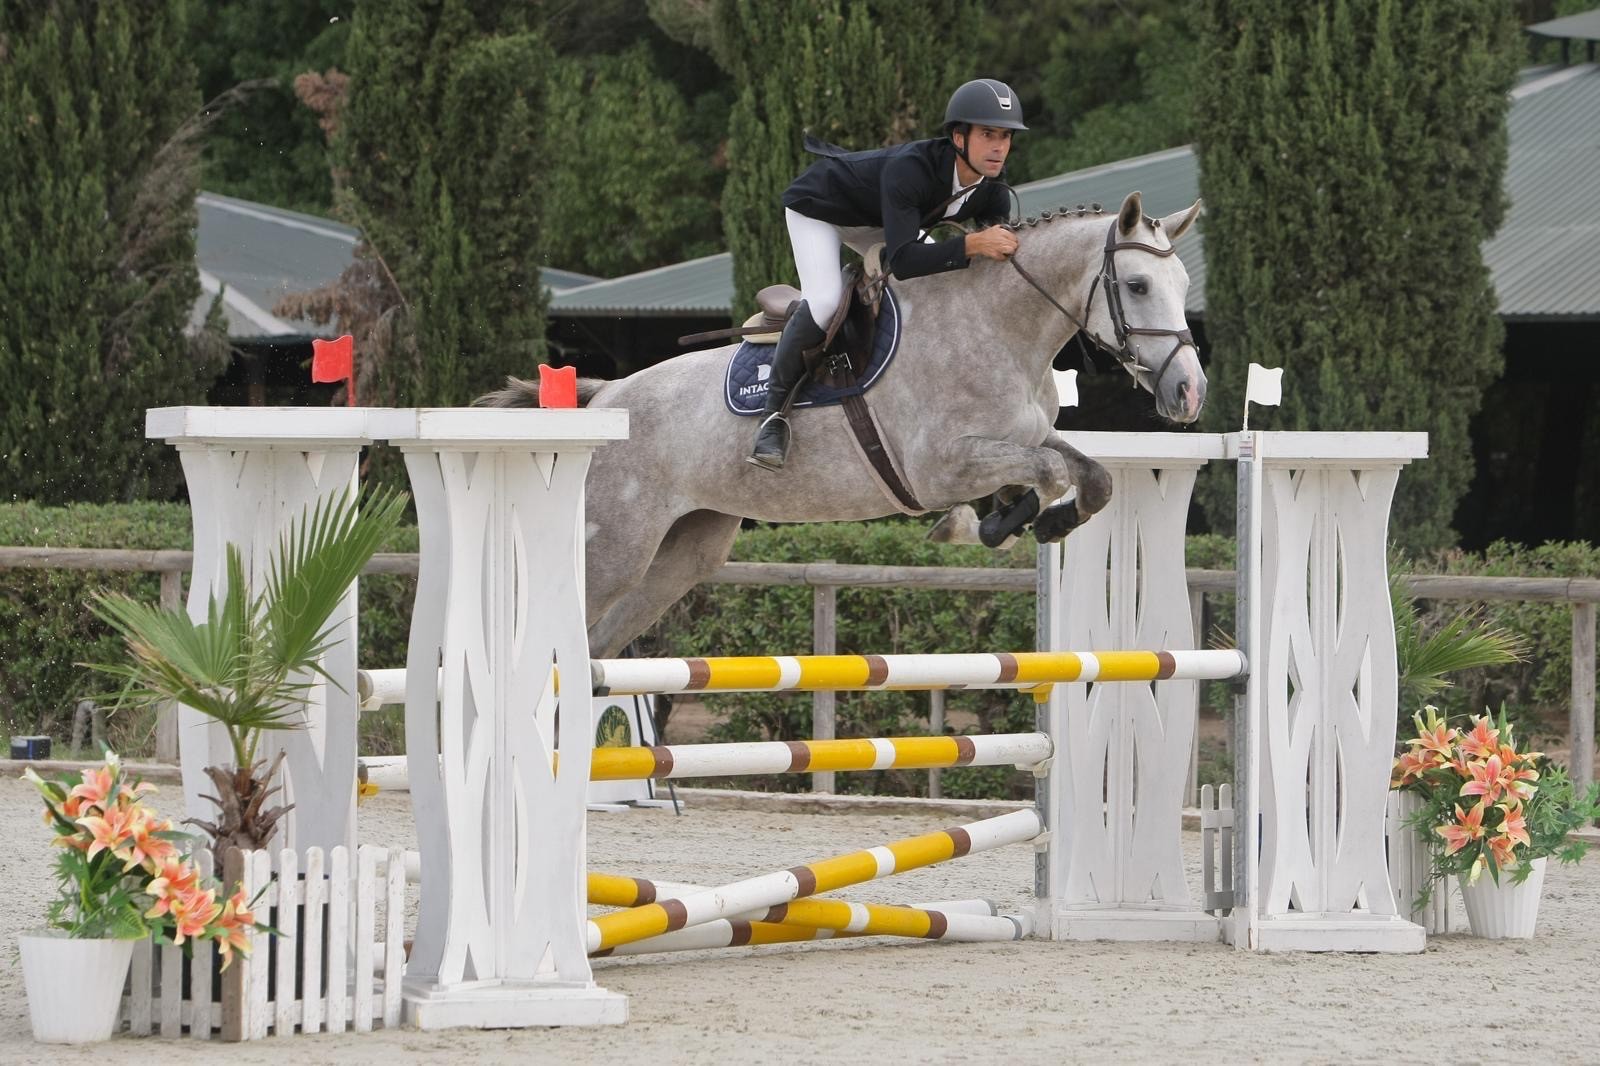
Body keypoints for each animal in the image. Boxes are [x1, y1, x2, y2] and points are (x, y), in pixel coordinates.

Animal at [481, 190, 1205, 658]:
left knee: (597, 647)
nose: (1189, 392)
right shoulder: (938, 468)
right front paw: (1002, 522)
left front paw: (1036, 521)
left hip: (682, 552)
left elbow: (1088, 476)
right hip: (612, 547)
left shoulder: (1020, 436)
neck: (998, 326)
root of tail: (604, 399)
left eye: (1183, 284)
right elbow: (1049, 471)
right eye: (1138, 286)